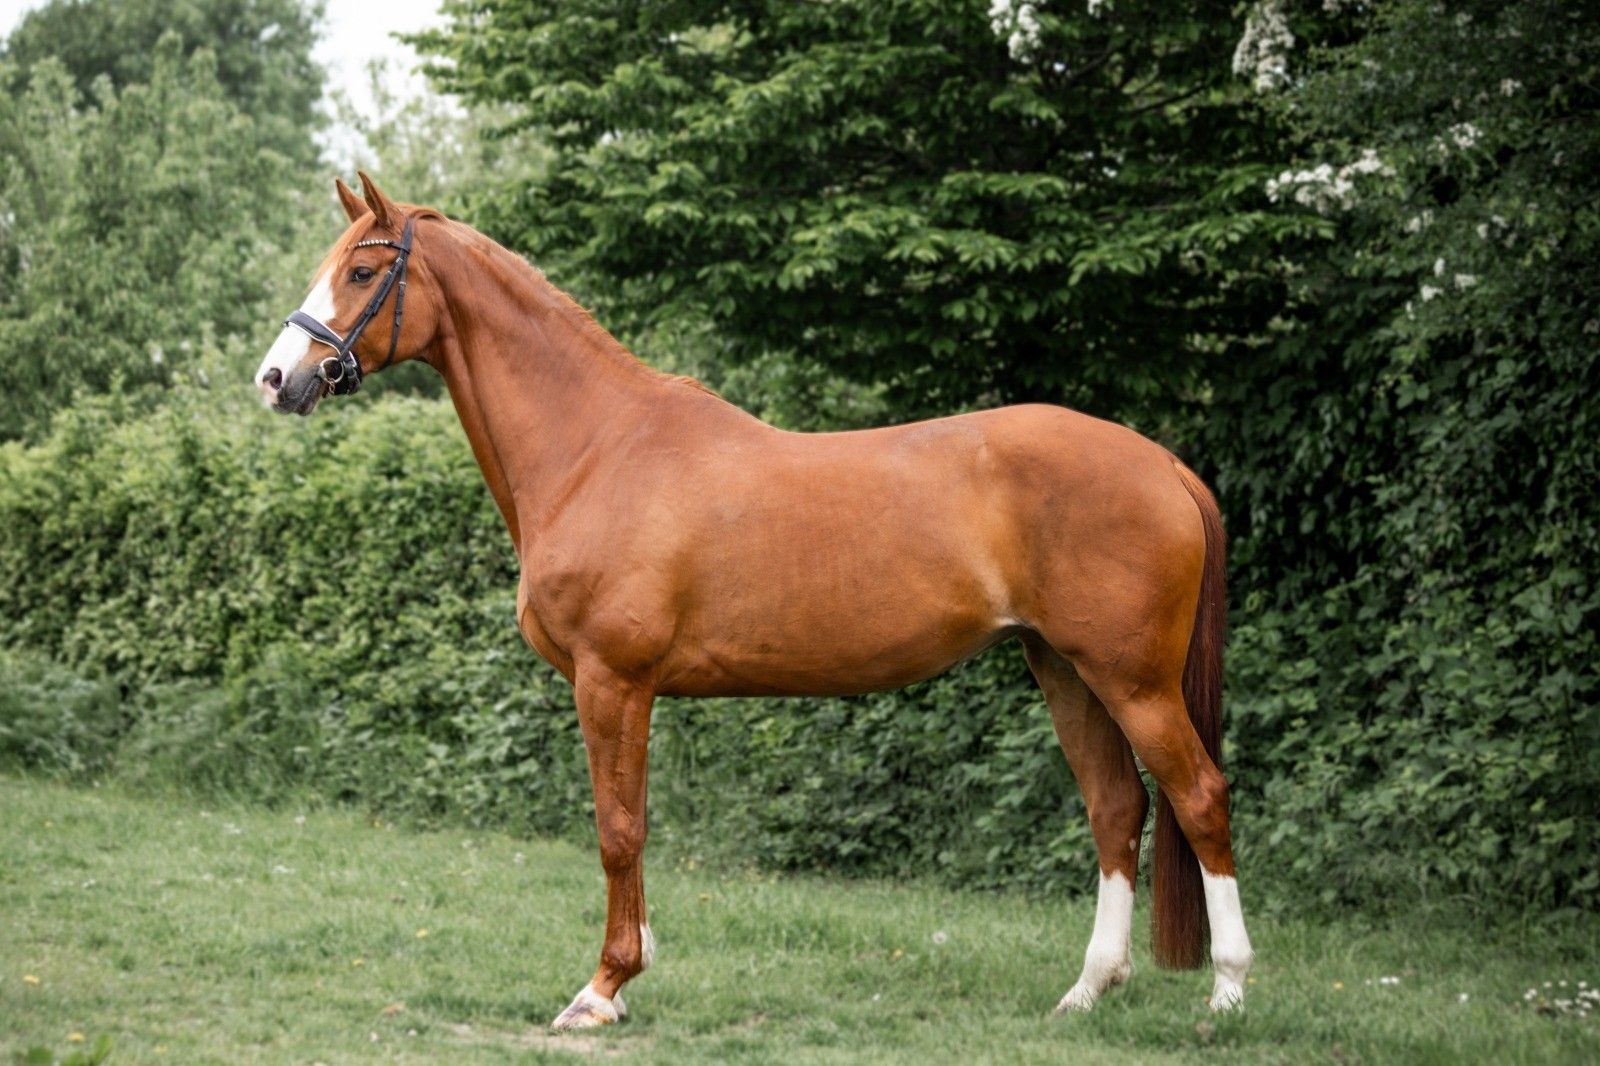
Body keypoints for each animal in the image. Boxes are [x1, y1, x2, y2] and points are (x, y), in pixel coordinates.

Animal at [254, 173, 1254, 1030]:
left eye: (363, 271)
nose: (276, 379)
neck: (596, 447)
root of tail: (1162, 463)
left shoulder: (610, 681)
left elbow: (618, 829)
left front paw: (602, 989)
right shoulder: (630, 691)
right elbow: (634, 825)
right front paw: (633, 967)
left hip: (1131, 680)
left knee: (1199, 796)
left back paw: (1229, 994)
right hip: (1065, 670)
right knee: (1116, 809)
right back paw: (1087, 991)